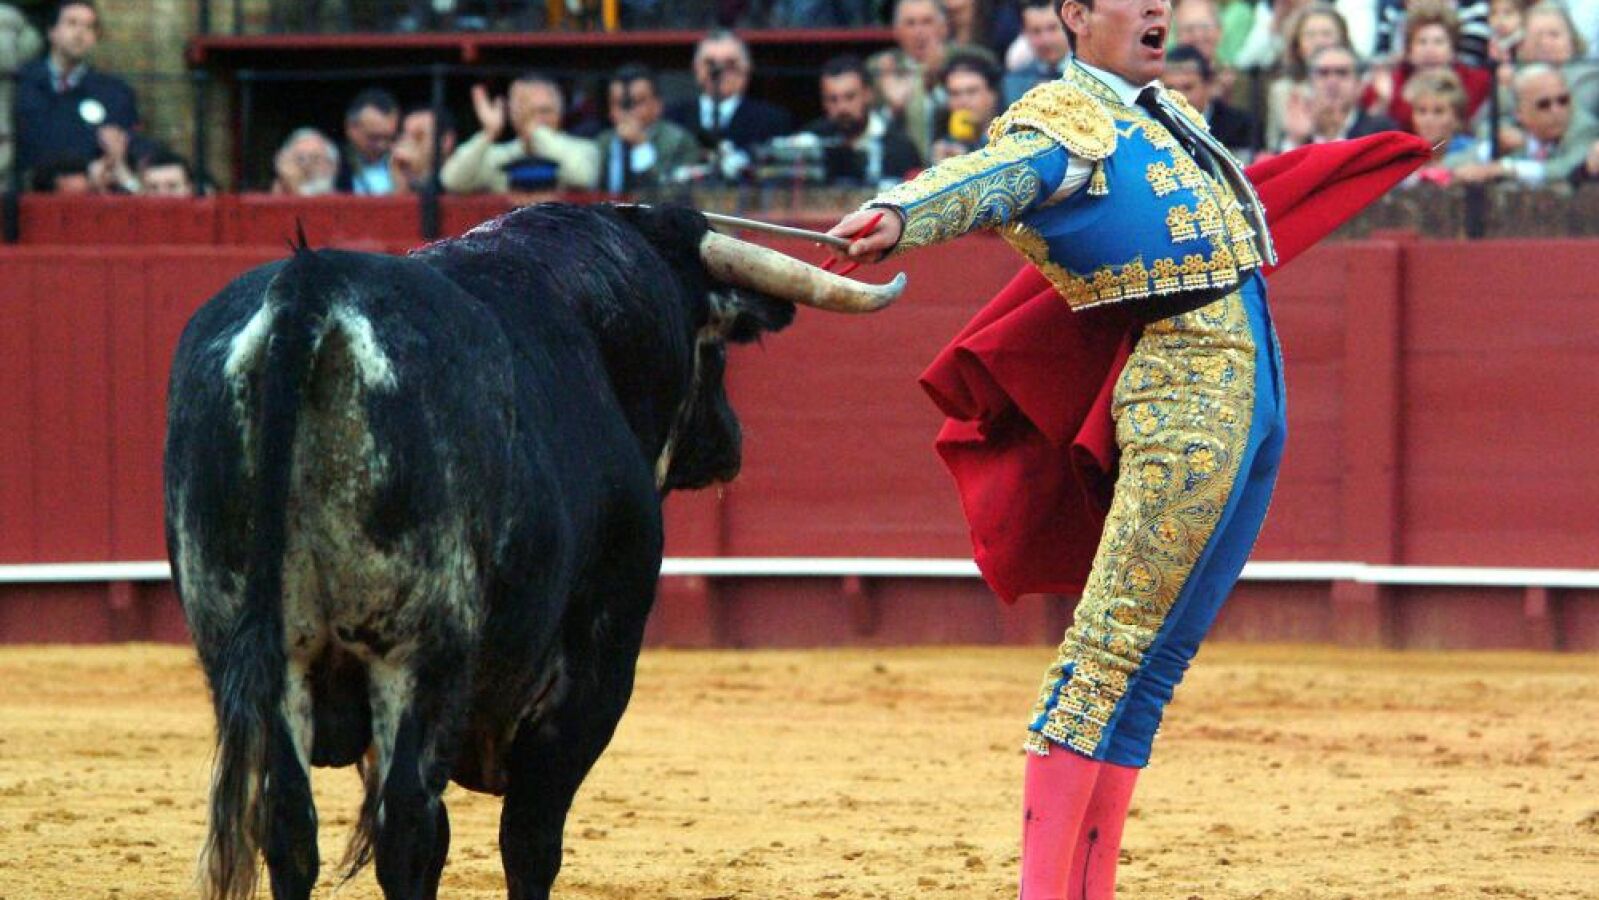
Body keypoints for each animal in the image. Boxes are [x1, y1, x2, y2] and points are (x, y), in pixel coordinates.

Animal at [163, 202, 903, 900]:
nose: (731, 439)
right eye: (716, 351)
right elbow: (529, 839)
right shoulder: (595, 666)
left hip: (252, 650)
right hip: (414, 650)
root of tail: (309, 290)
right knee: (406, 826)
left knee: (290, 828)